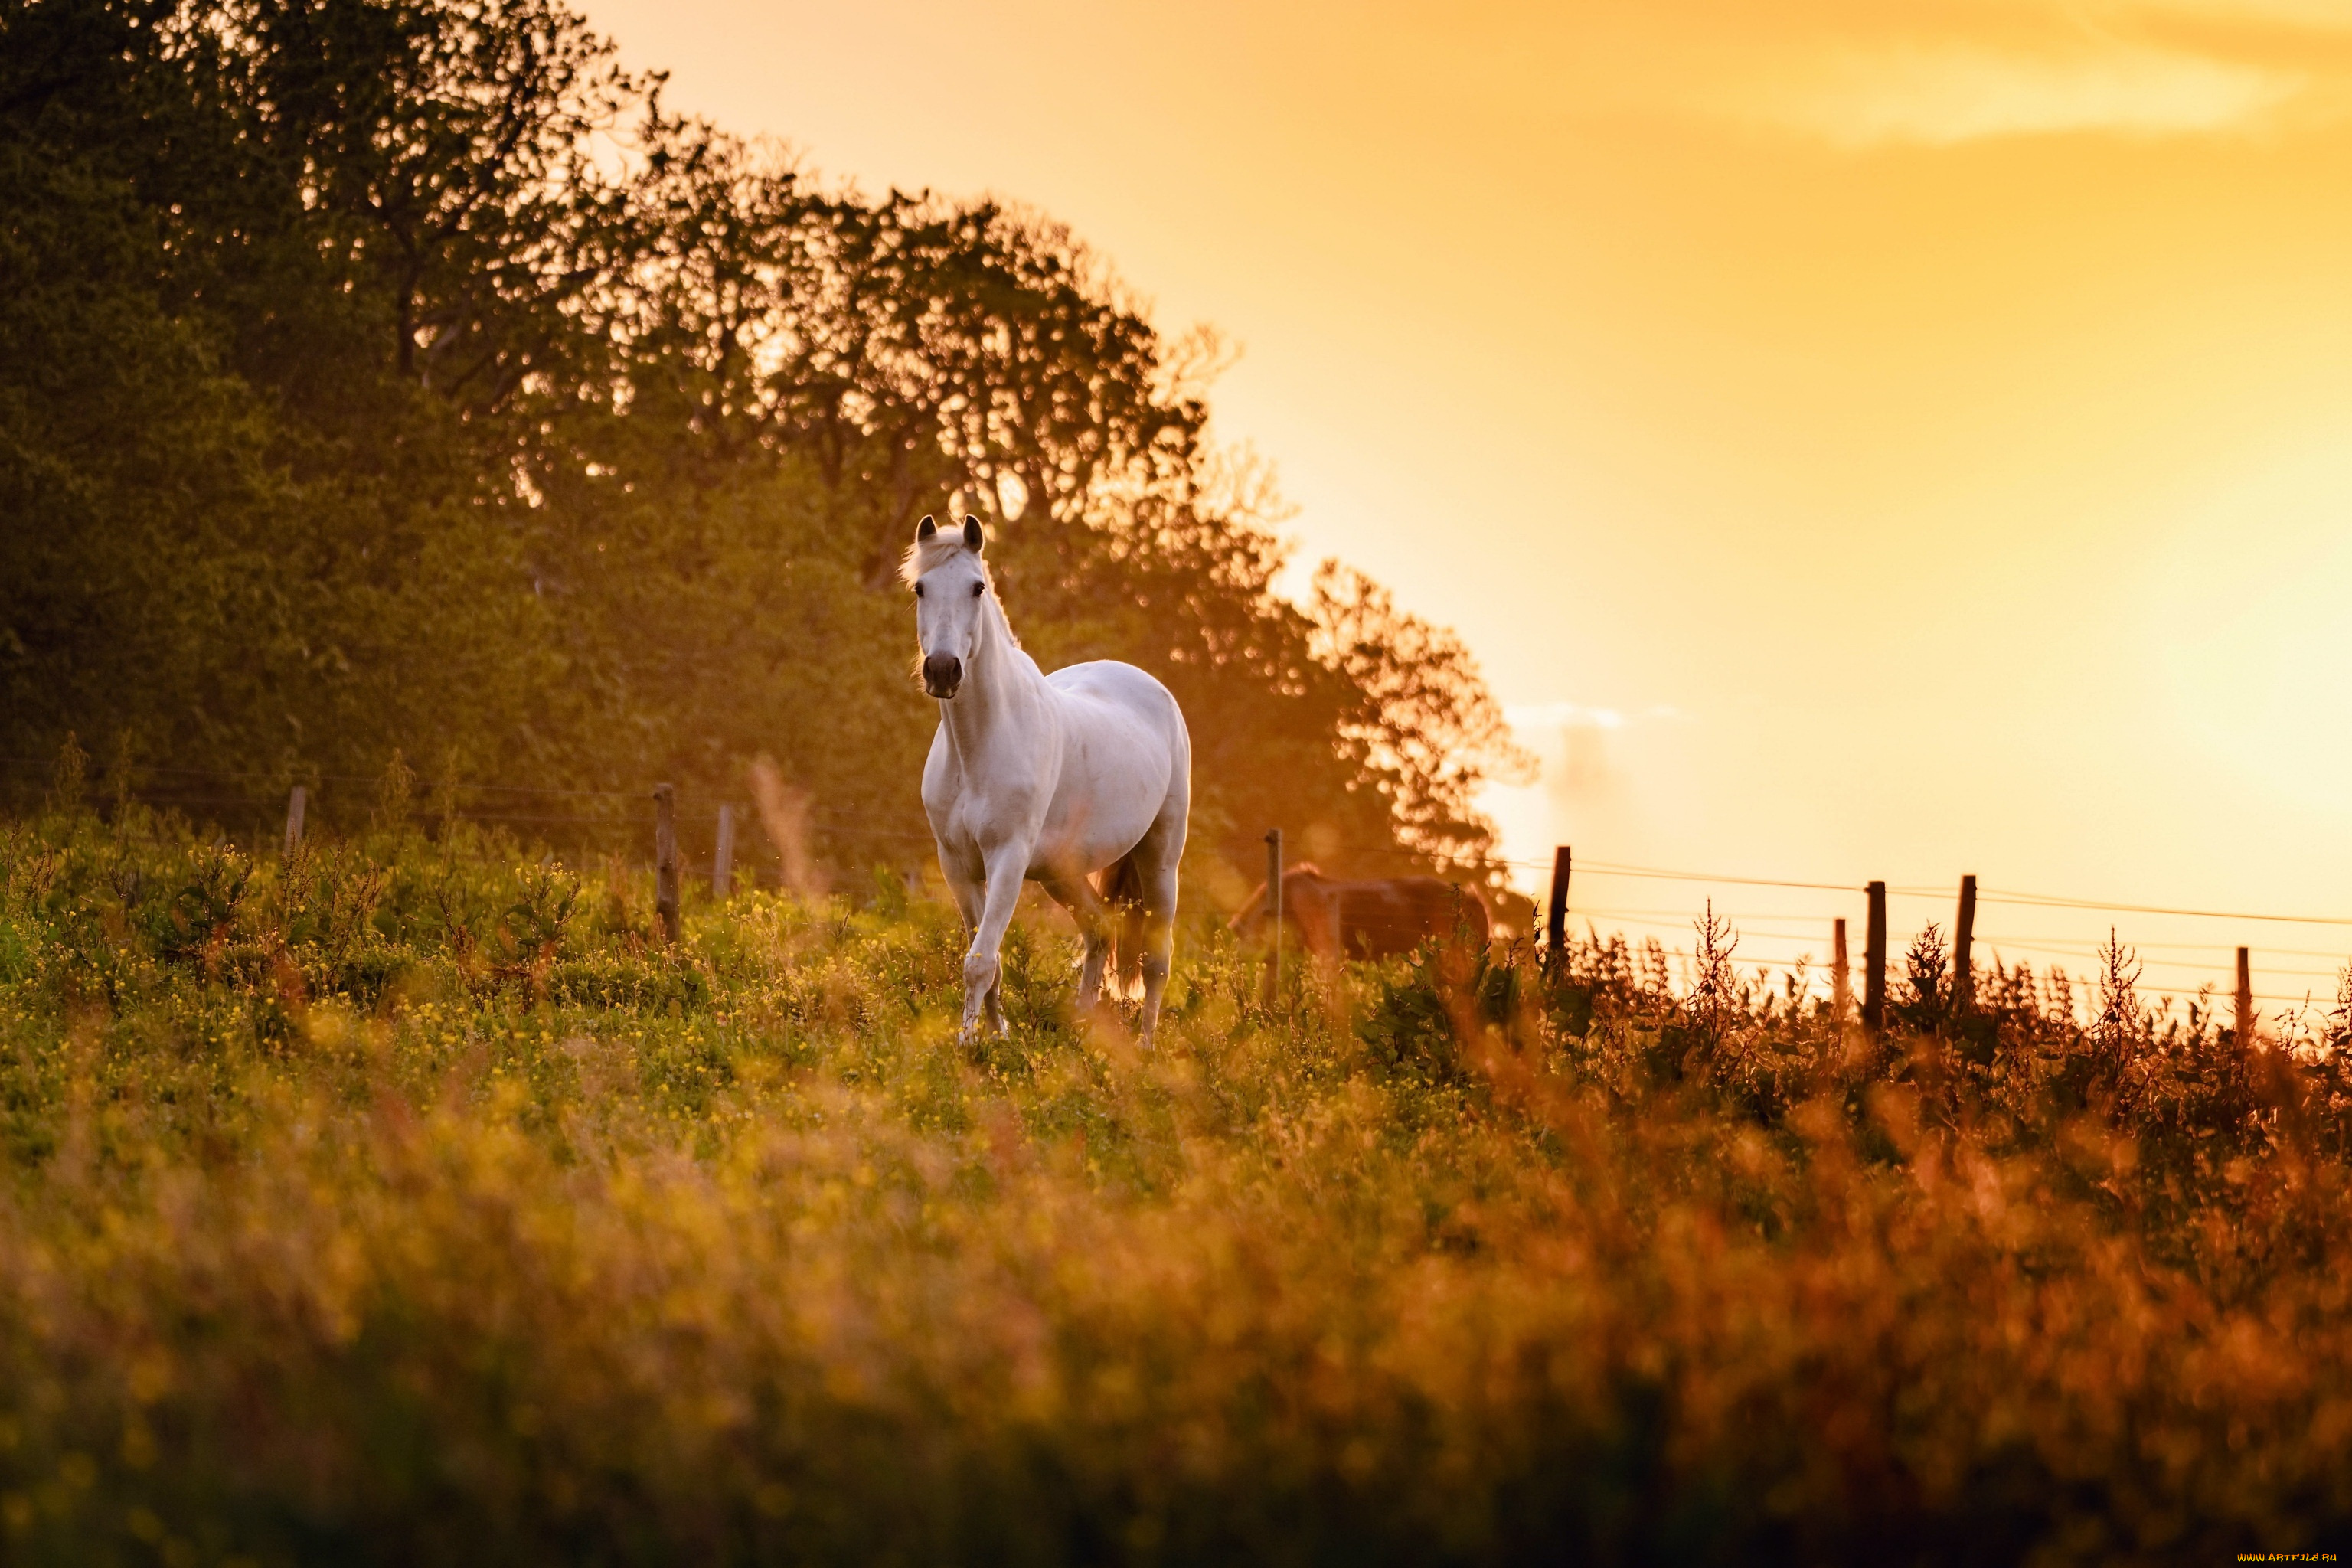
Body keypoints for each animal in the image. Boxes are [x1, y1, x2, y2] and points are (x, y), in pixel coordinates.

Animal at [903, 514, 1194, 1048]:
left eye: (977, 587)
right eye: (920, 588)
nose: (943, 670)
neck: (979, 747)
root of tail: (1154, 689)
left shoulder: (1008, 860)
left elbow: (980, 962)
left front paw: (968, 1045)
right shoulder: (957, 866)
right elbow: (989, 962)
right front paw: (997, 1038)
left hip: (1161, 859)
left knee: (1156, 962)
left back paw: (1145, 1048)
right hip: (1063, 871)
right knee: (1100, 930)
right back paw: (1081, 1032)